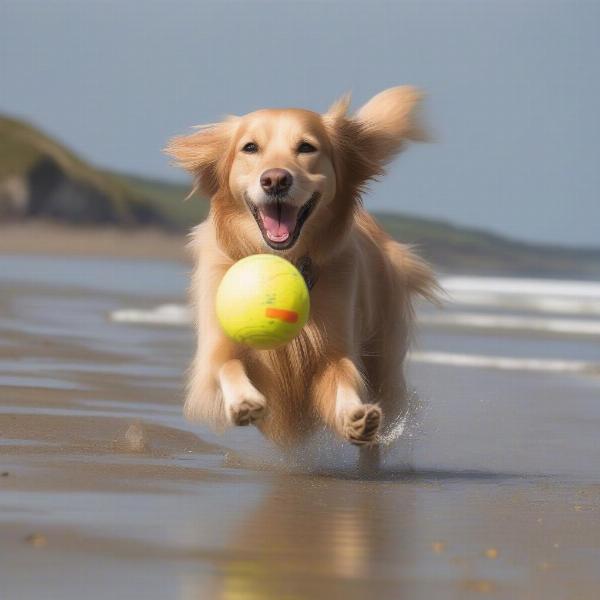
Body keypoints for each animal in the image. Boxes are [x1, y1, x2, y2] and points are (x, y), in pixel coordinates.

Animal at [166, 86, 438, 452]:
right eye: (250, 147)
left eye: (306, 147)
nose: (275, 179)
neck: (283, 260)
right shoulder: (217, 345)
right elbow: (228, 365)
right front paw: (243, 401)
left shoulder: (334, 349)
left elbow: (343, 378)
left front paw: (353, 415)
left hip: (385, 356)